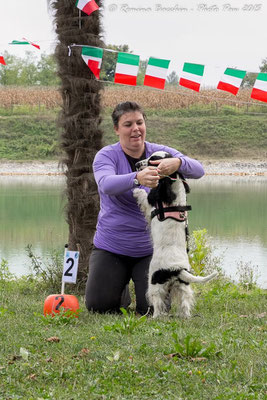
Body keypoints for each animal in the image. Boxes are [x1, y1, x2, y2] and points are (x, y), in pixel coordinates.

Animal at [134, 151, 218, 318]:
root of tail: (177, 269)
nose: (137, 165)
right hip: (183, 287)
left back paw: (154, 318)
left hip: (154, 284)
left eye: (153, 161)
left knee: (157, 304)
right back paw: (184, 317)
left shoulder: (150, 205)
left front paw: (136, 190)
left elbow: (144, 195)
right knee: (185, 304)